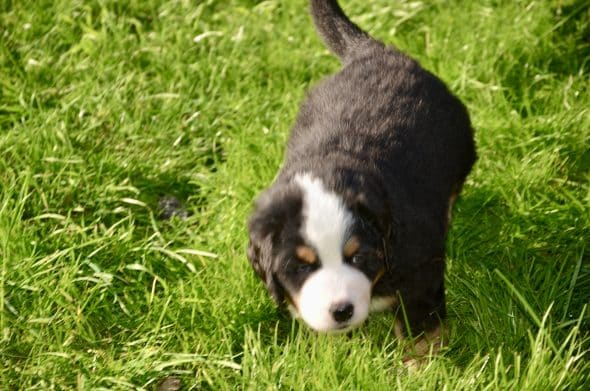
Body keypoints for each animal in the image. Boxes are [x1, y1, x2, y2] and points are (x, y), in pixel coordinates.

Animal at [247, 0, 478, 356]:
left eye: (357, 256)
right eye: (300, 267)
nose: (341, 310)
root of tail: (373, 51)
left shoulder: (420, 273)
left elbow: (420, 329)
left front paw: (424, 362)